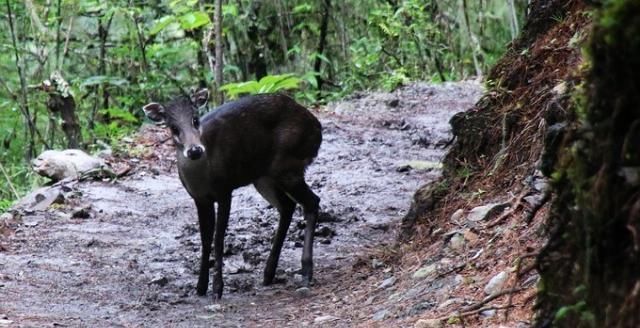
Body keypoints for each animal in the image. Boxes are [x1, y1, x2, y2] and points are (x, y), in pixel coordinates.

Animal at [140, 89, 320, 300]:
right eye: (173, 128)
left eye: (195, 119)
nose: (194, 150)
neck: (205, 174)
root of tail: (316, 126)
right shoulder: (199, 198)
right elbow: (205, 239)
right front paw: (200, 287)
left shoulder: (225, 191)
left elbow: (218, 239)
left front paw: (218, 288)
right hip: (263, 177)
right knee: (287, 206)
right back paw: (268, 273)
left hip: (288, 167)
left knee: (312, 202)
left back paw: (306, 272)